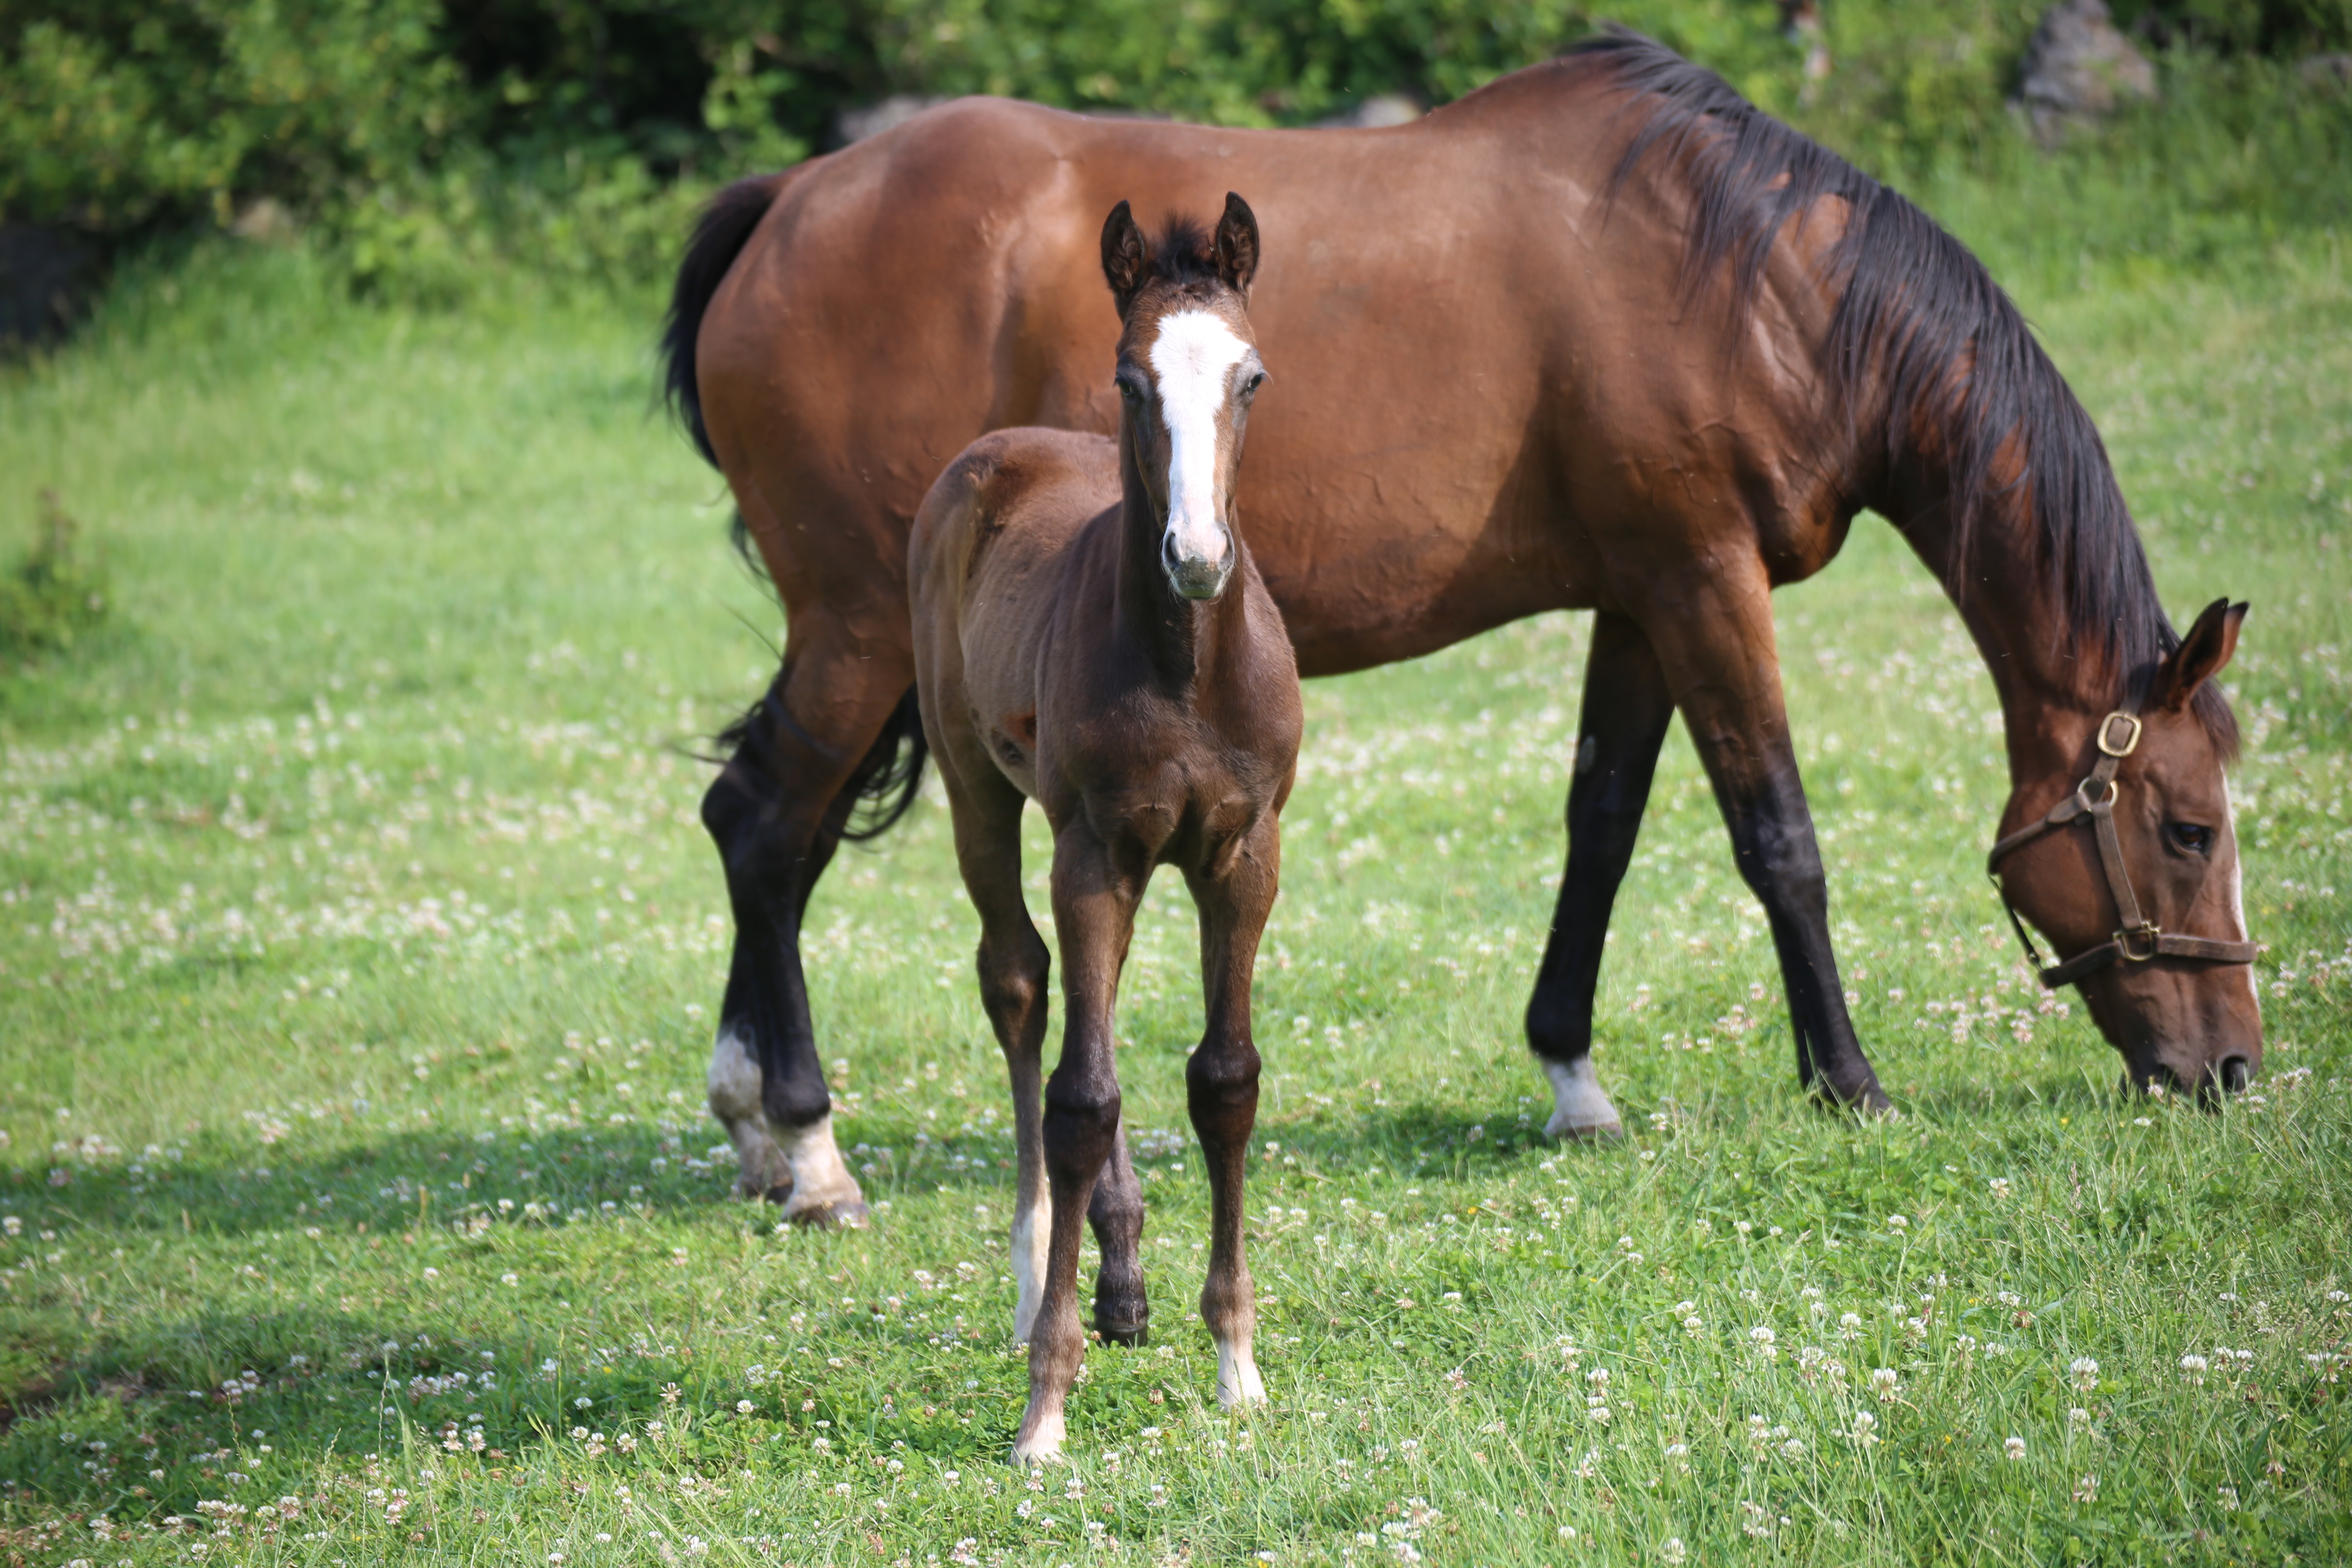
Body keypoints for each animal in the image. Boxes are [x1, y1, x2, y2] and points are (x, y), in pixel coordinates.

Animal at [903, 200, 1307, 1476]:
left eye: (1250, 376)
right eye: (1133, 380)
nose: (1197, 556)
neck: (1185, 668)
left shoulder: (1244, 856)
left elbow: (1224, 1080)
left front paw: (1236, 1365)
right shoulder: (1090, 853)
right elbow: (1081, 1098)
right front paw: (1045, 1406)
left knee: (1102, 1016)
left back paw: (1122, 1282)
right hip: (984, 795)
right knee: (1023, 988)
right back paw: (1038, 1275)